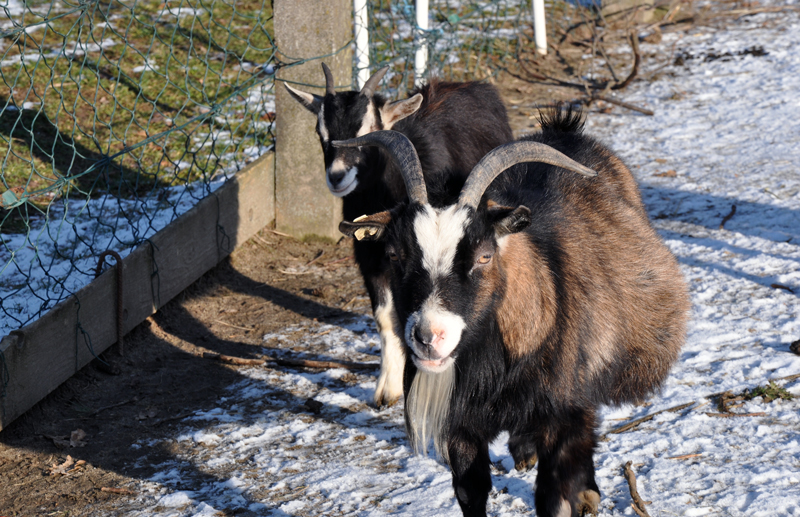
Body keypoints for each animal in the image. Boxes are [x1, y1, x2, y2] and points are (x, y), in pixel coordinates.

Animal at [284, 64, 516, 406]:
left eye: (368, 131)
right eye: (320, 132)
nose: (337, 176)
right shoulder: (372, 260)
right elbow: (386, 318)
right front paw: (388, 388)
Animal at [334, 110, 692, 516]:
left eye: (484, 256)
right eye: (394, 255)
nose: (429, 337)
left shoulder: (561, 416)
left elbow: (553, 496)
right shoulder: (462, 428)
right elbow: (470, 492)